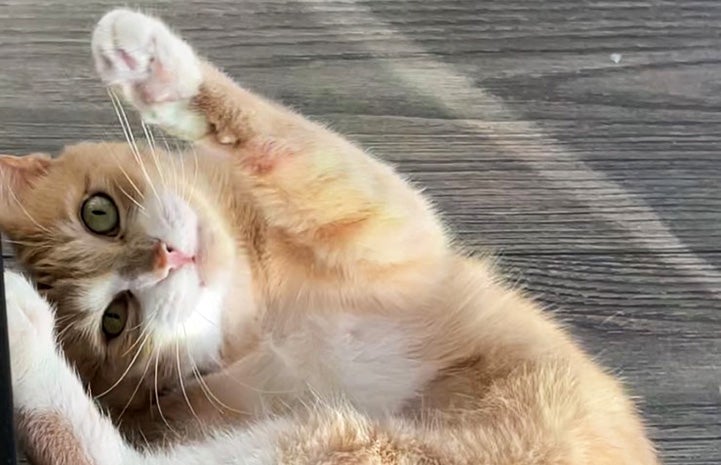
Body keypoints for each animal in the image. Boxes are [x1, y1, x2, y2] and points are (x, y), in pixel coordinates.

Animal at [0, 8, 660, 464]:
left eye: (99, 213)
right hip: (354, 444)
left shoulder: (392, 226)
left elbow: (286, 142)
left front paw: (157, 70)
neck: (263, 318)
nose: (167, 257)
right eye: (117, 319)